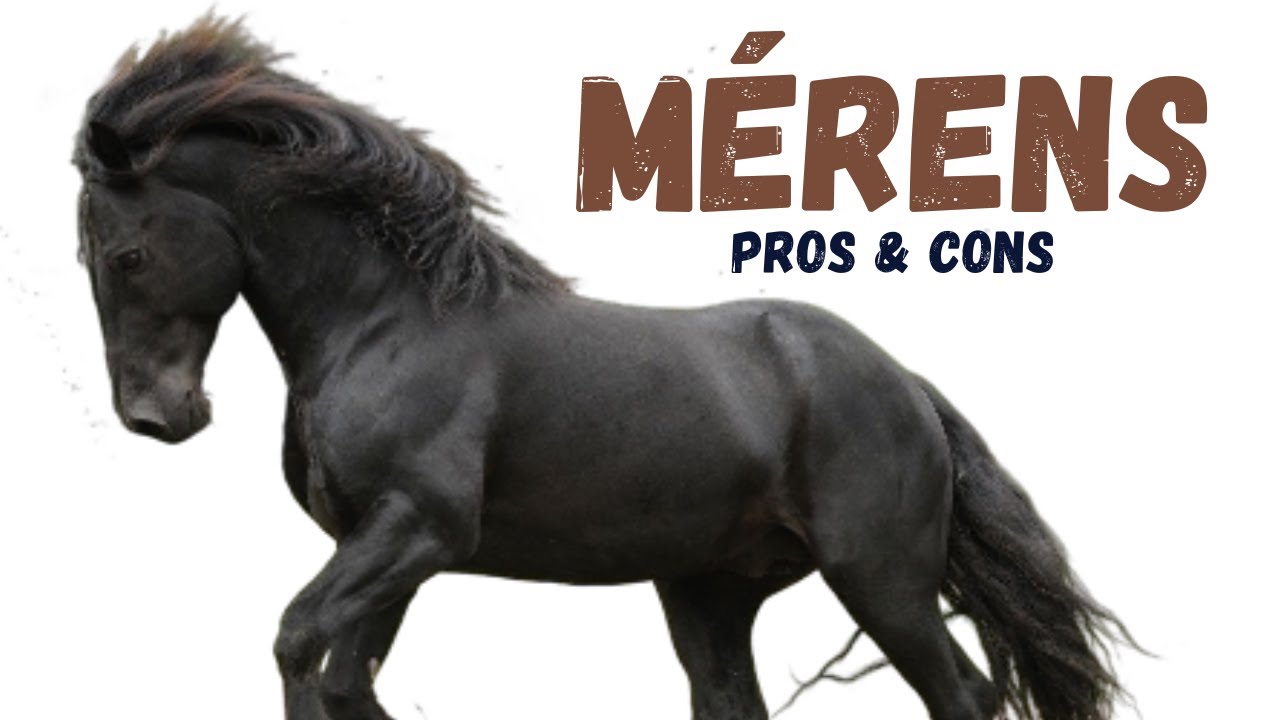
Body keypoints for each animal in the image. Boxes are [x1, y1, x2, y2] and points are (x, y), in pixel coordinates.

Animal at [73, 16, 1133, 720]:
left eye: (126, 255)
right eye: (88, 258)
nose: (156, 416)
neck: (386, 324)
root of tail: (907, 384)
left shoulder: (418, 528)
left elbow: (299, 642)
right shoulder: (384, 551)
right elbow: (348, 684)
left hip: (882, 578)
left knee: (965, 694)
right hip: (712, 593)